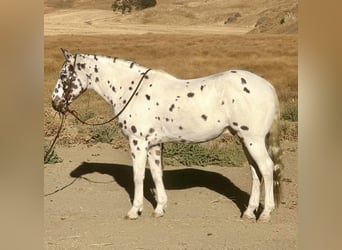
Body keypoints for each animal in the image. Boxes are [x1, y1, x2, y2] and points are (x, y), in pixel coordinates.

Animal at [51, 49, 284, 222]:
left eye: (64, 75)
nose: (55, 103)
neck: (131, 90)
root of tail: (268, 86)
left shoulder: (137, 142)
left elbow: (138, 176)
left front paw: (134, 211)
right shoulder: (154, 145)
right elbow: (156, 174)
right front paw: (159, 208)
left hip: (253, 140)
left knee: (266, 168)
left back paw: (265, 213)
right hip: (245, 140)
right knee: (256, 173)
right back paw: (249, 213)